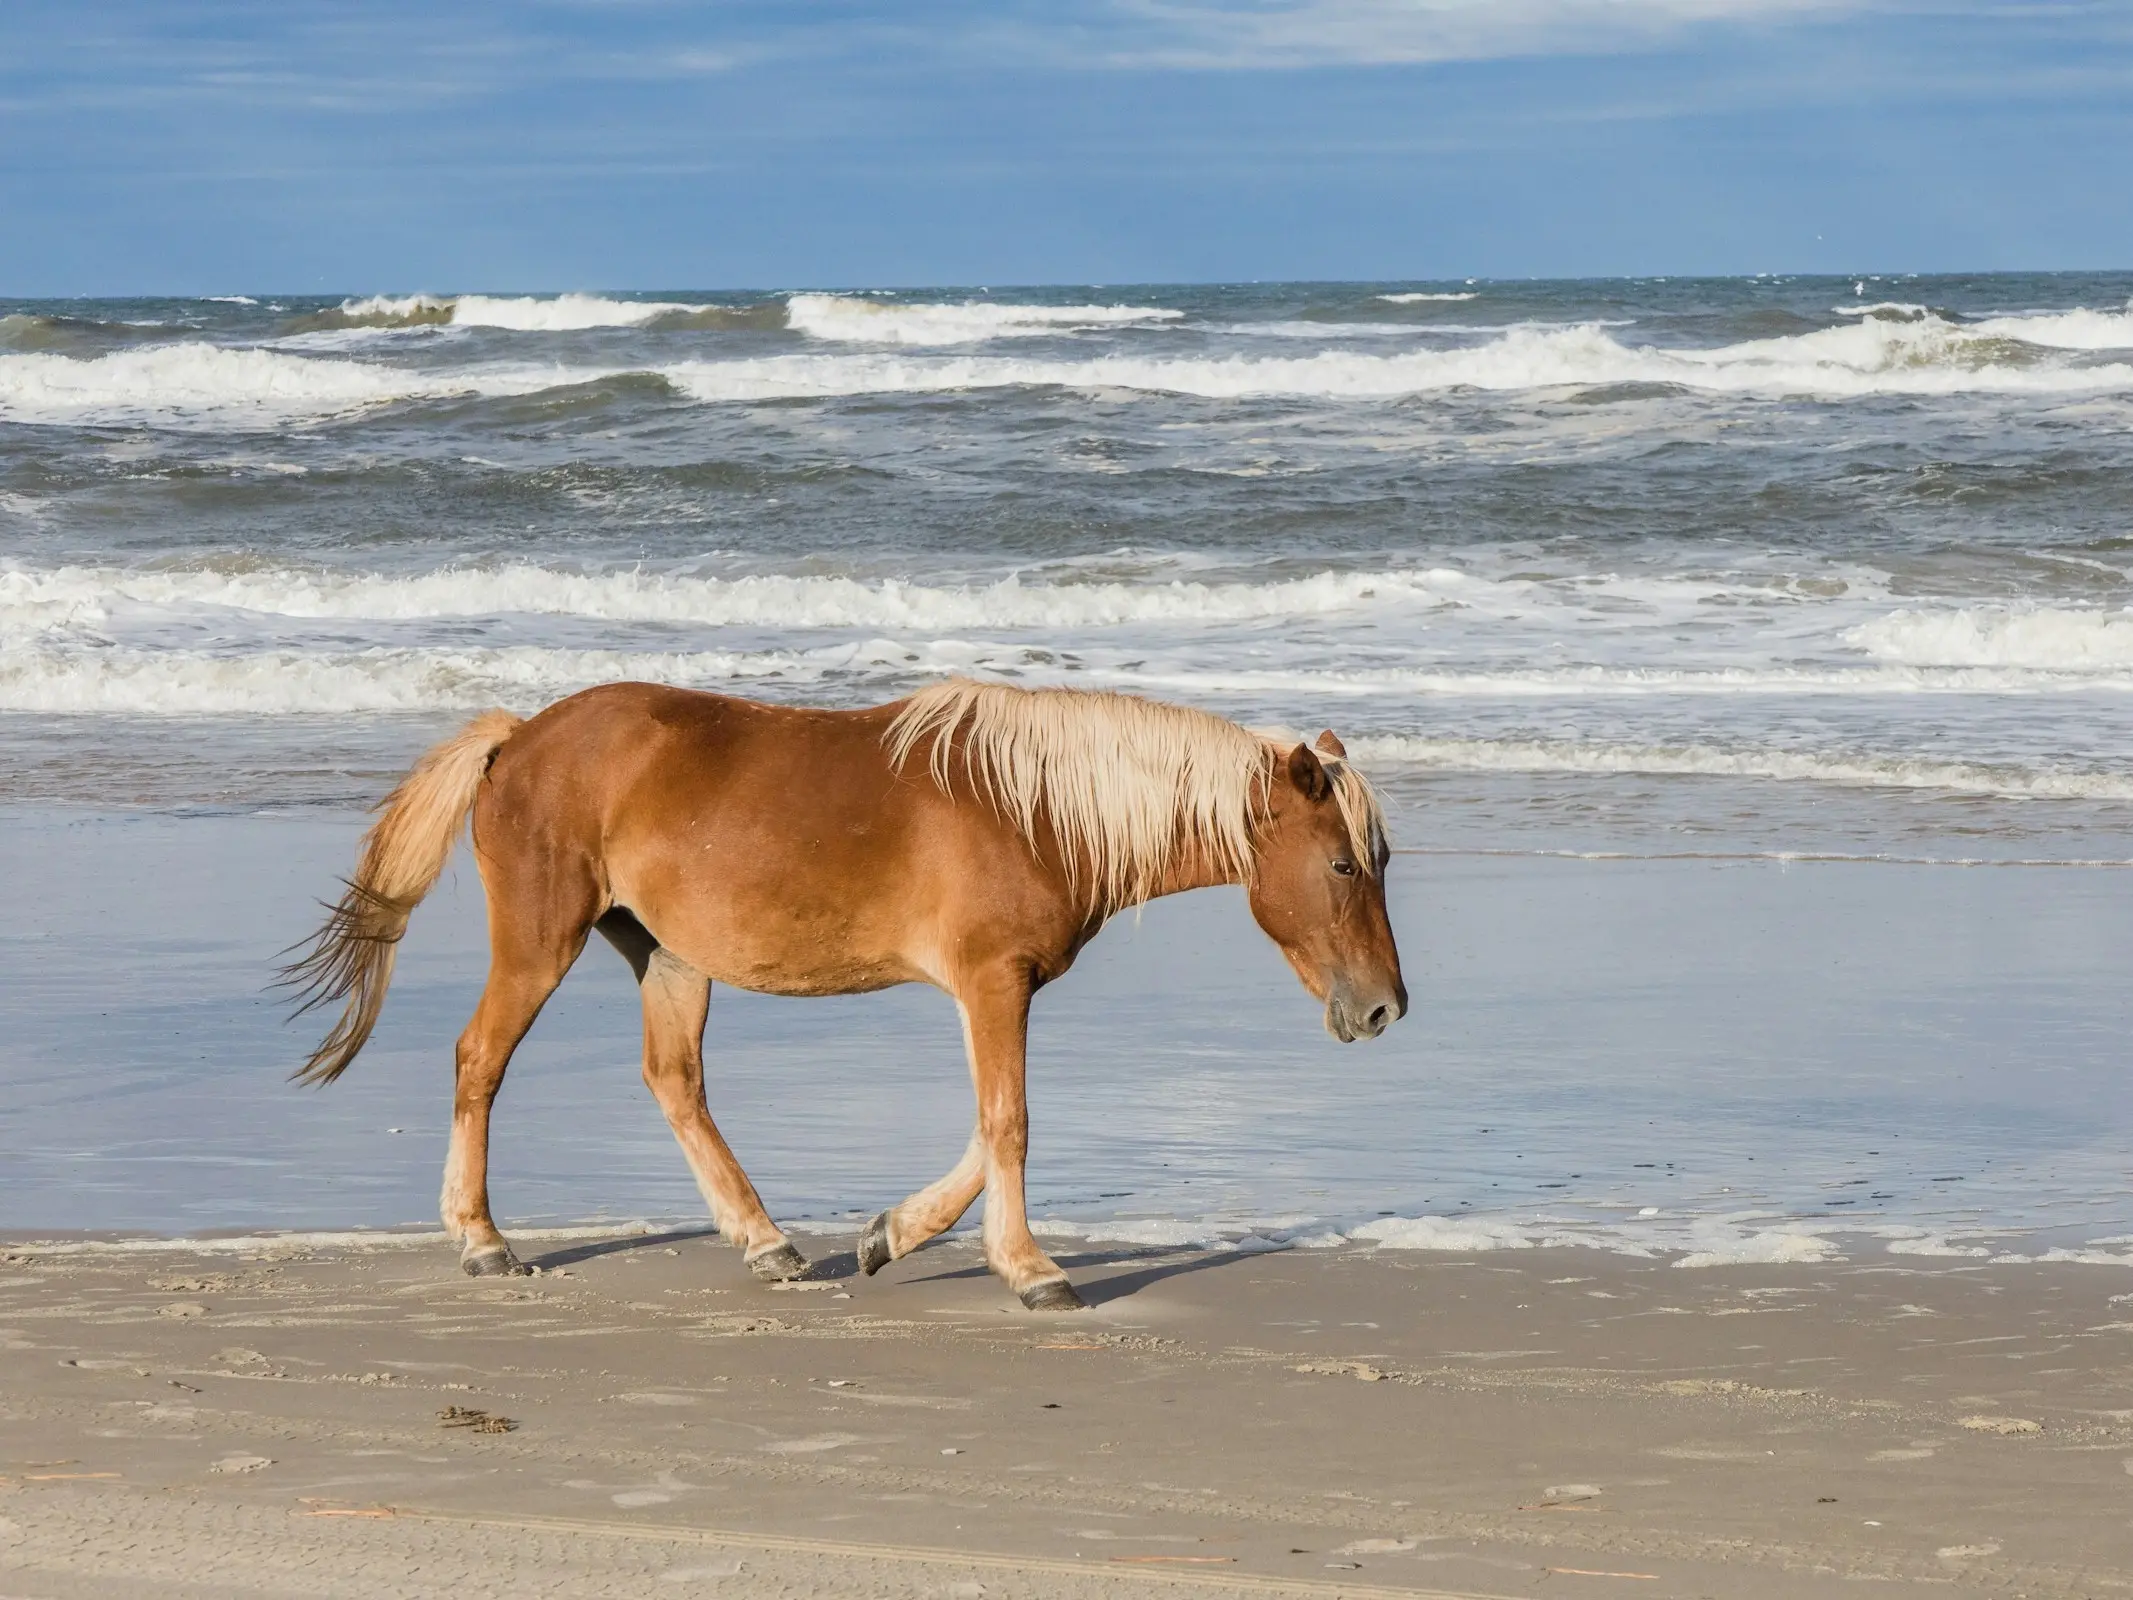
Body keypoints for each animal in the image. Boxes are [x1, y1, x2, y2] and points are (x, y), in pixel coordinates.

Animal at [287, 678, 1416, 1314]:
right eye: (1344, 865)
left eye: (1381, 860)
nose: (1383, 1010)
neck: (1038, 810)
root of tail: (518, 738)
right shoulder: (992, 981)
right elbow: (1009, 1124)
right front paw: (1030, 1269)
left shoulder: (991, 988)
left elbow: (984, 1129)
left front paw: (888, 1235)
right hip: (541, 938)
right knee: (480, 1059)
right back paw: (483, 1243)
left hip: (669, 956)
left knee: (675, 1082)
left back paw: (768, 1244)